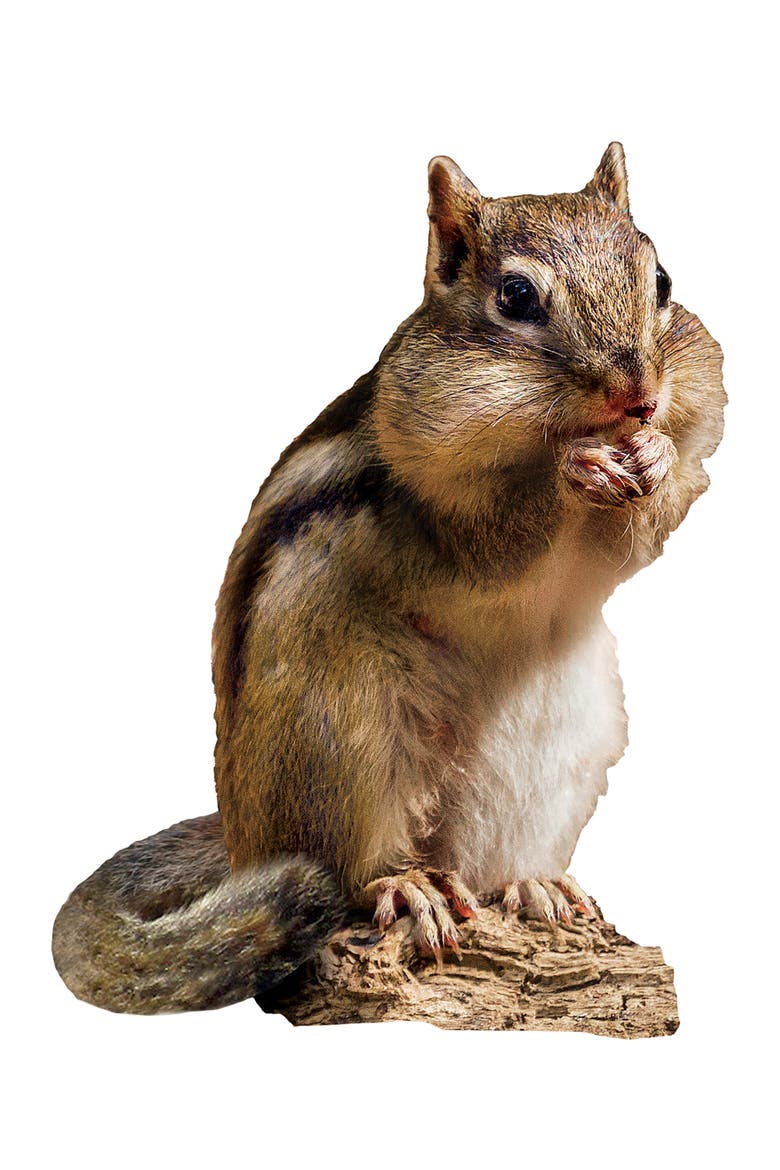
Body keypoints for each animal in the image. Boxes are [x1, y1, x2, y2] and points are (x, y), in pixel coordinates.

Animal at [52, 144, 725, 1013]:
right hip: (339, 729)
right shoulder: (431, 504)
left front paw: (654, 455)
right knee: (348, 866)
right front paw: (572, 465)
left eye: (663, 280)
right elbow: (495, 539)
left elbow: (653, 522)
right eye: (516, 297)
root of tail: (240, 842)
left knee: (488, 867)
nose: (638, 396)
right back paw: (403, 886)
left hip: (556, 746)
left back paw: (532, 885)